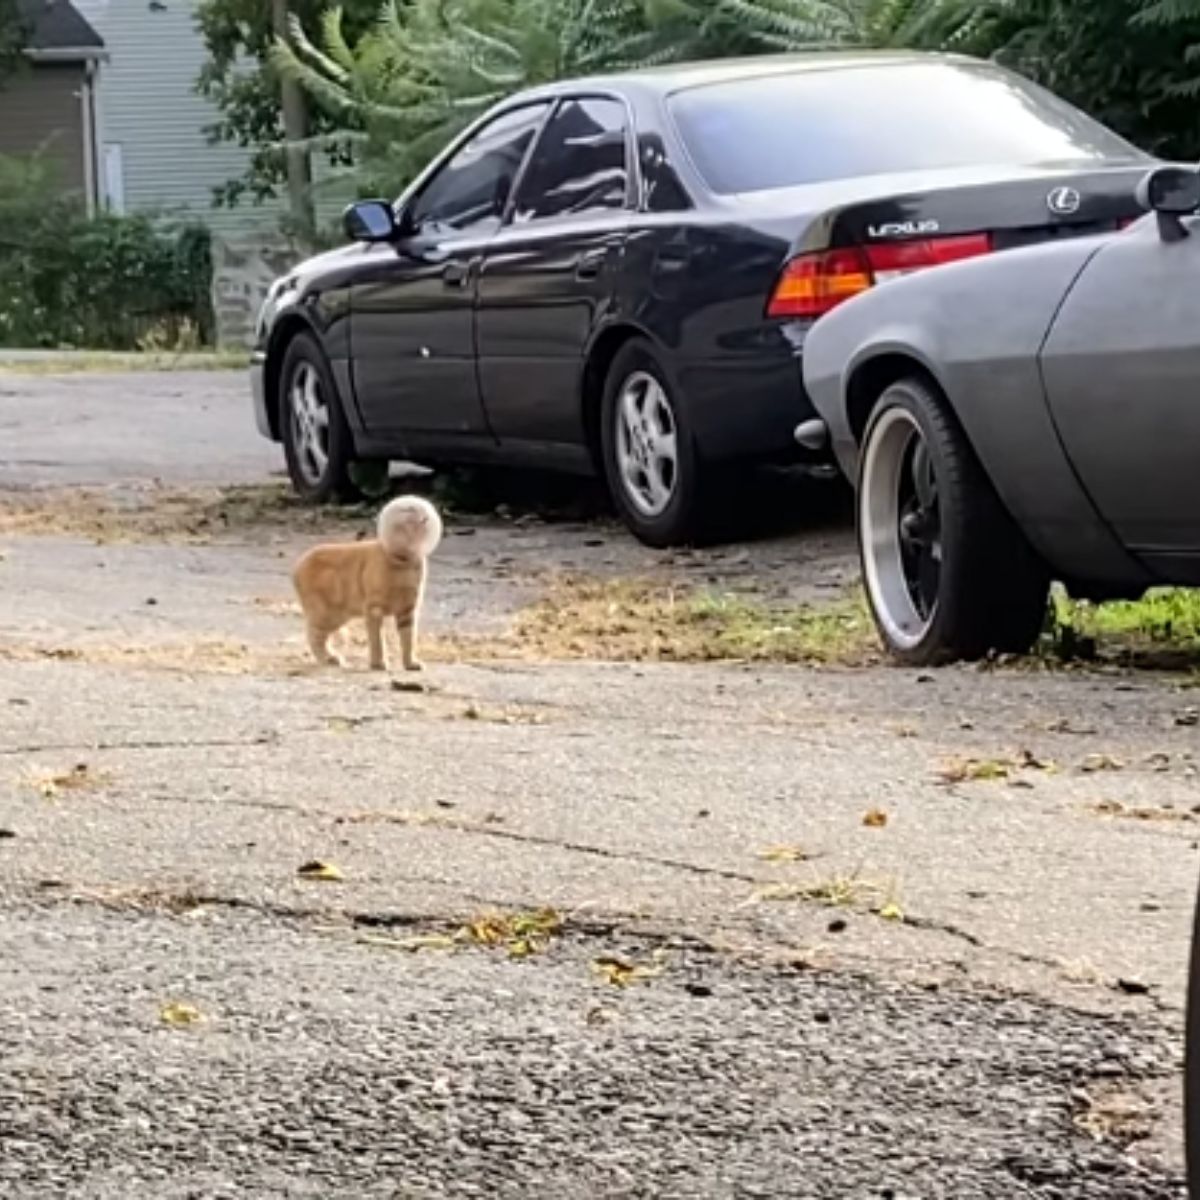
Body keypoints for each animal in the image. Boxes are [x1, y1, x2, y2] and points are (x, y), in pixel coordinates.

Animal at [292, 492, 444, 672]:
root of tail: (298, 564)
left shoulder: (408, 610)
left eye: (425, 509)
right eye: (408, 509)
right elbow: (377, 640)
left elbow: (409, 639)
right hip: (327, 614)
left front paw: (411, 663)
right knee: (313, 634)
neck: (403, 562)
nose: (423, 517)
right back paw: (329, 659)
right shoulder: (374, 609)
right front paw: (378, 664)